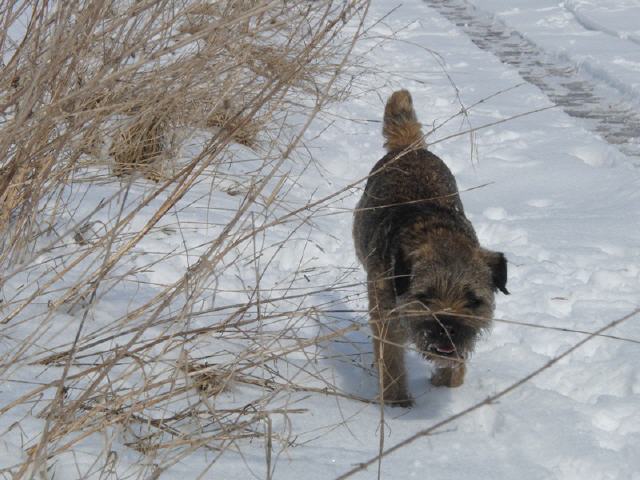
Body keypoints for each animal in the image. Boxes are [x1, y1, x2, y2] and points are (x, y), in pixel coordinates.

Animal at [352, 89, 508, 404]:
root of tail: (409, 148)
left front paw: (447, 380)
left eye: (473, 300)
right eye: (424, 296)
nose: (447, 328)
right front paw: (397, 401)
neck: (438, 234)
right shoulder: (387, 318)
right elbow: (391, 361)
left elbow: (456, 367)